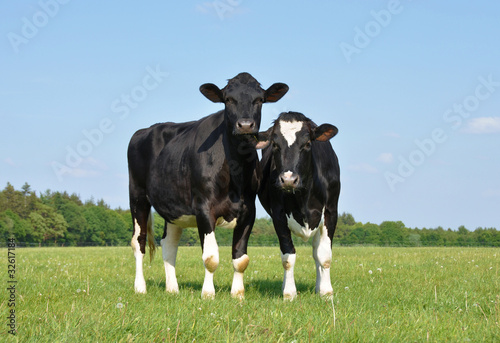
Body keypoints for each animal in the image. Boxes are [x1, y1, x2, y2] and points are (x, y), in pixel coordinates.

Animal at [127, 72, 288, 298]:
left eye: (259, 100)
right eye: (228, 99)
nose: (245, 125)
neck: (235, 169)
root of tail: (147, 129)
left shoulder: (249, 210)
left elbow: (241, 259)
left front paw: (238, 294)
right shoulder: (203, 207)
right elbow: (211, 257)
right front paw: (208, 294)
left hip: (173, 207)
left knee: (169, 243)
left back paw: (172, 289)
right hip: (138, 196)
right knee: (138, 241)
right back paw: (140, 287)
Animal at [258, 111, 340, 300]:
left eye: (308, 143)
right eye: (275, 144)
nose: (288, 179)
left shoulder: (331, 212)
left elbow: (324, 256)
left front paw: (326, 292)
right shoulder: (278, 215)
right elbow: (288, 256)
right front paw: (289, 293)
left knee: (317, 253)